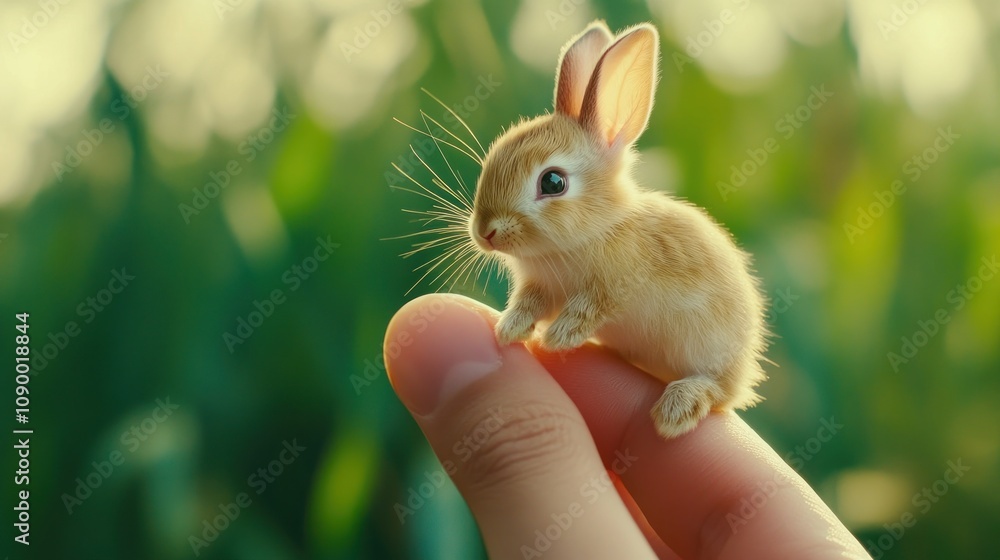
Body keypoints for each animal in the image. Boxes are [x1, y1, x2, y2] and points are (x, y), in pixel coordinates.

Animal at [468, 20, 769, 438]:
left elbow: (588, 309)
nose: (484, 232)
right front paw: (509, 330)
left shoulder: (612, 287)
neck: (595, 228)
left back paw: (676, 410)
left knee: (719, 390)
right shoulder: (541, 288)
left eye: (553, 182)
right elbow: (530, 304)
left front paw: (557, 338)